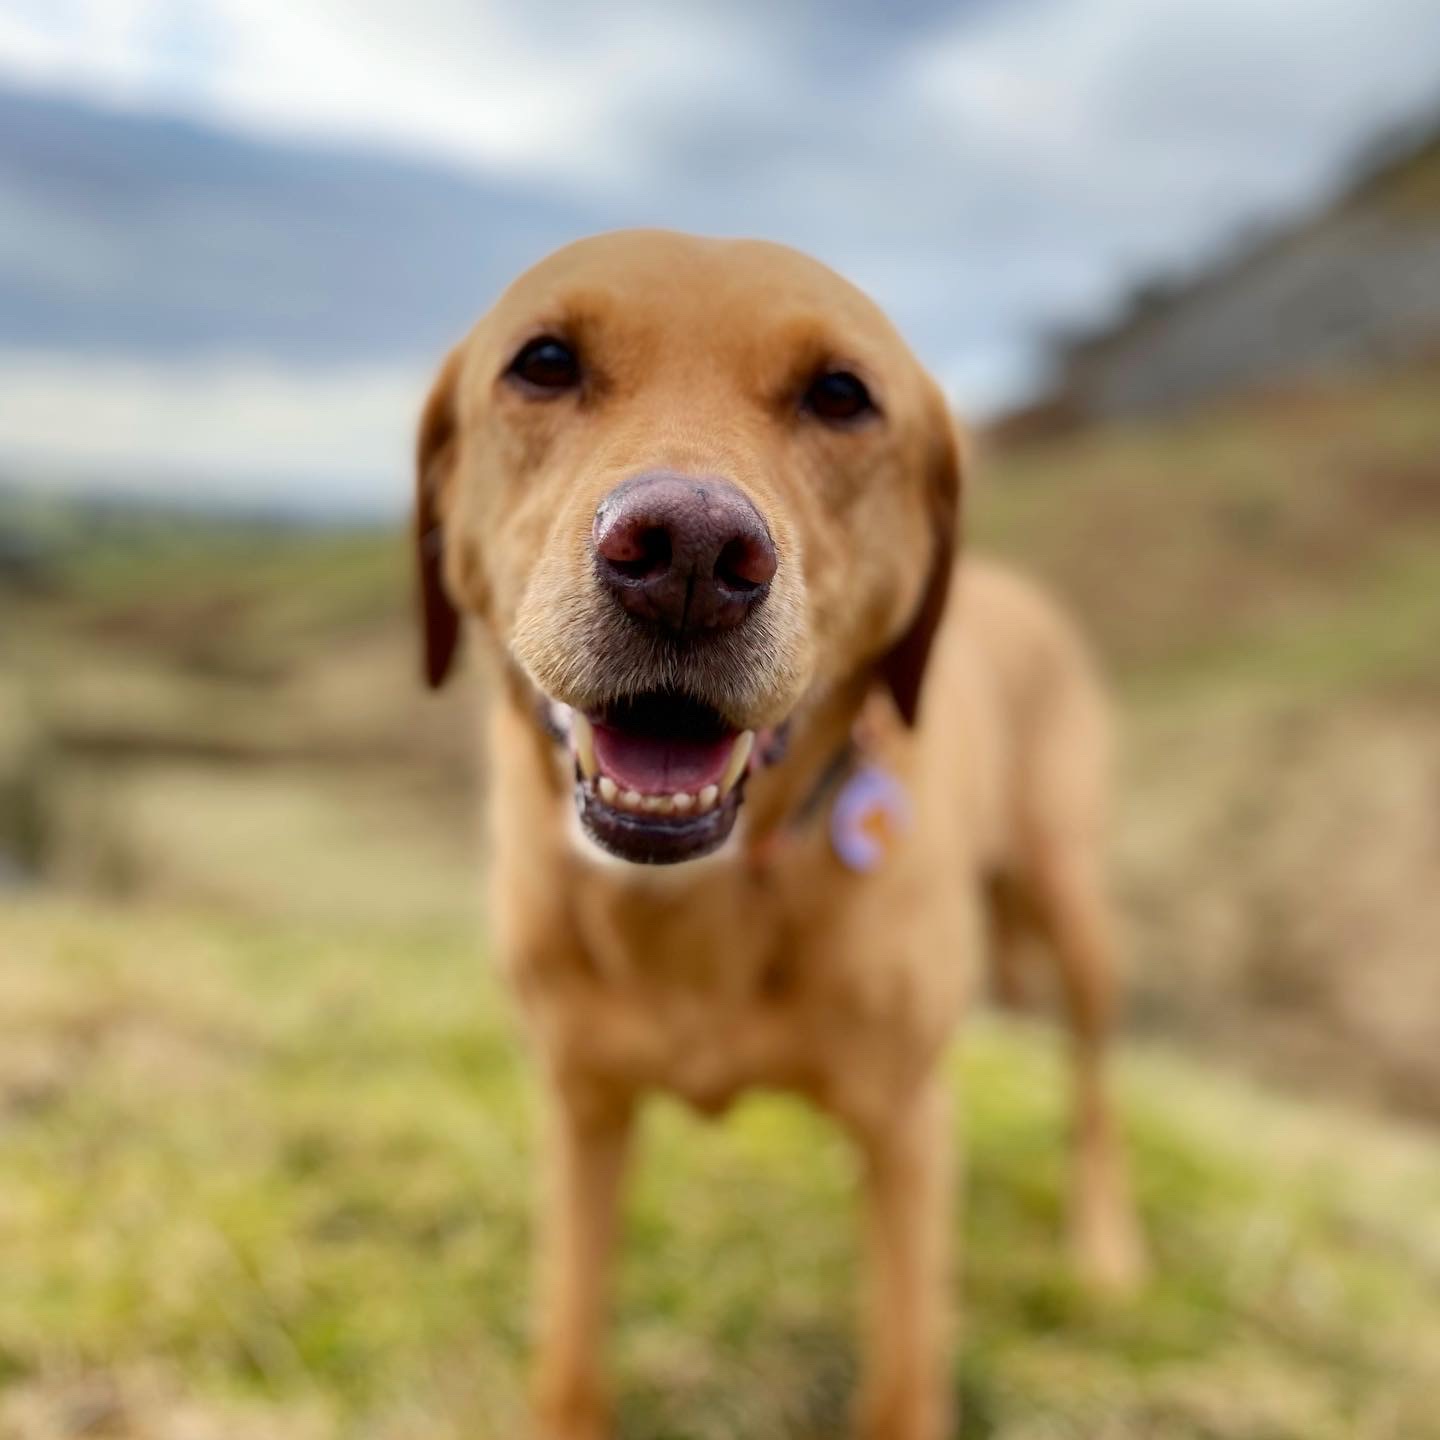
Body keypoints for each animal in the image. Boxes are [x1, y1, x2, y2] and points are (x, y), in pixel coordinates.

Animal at [411, 230, 1140, 1434]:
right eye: (545, 361)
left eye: (841, 394)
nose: (689, 557)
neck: (703, 903)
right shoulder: (580, 1107)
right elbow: (571, 1345)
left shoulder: (907, 1129)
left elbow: (904, 1376)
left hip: (1072, 902)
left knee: (1094, 1085)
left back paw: (1104, 1247)